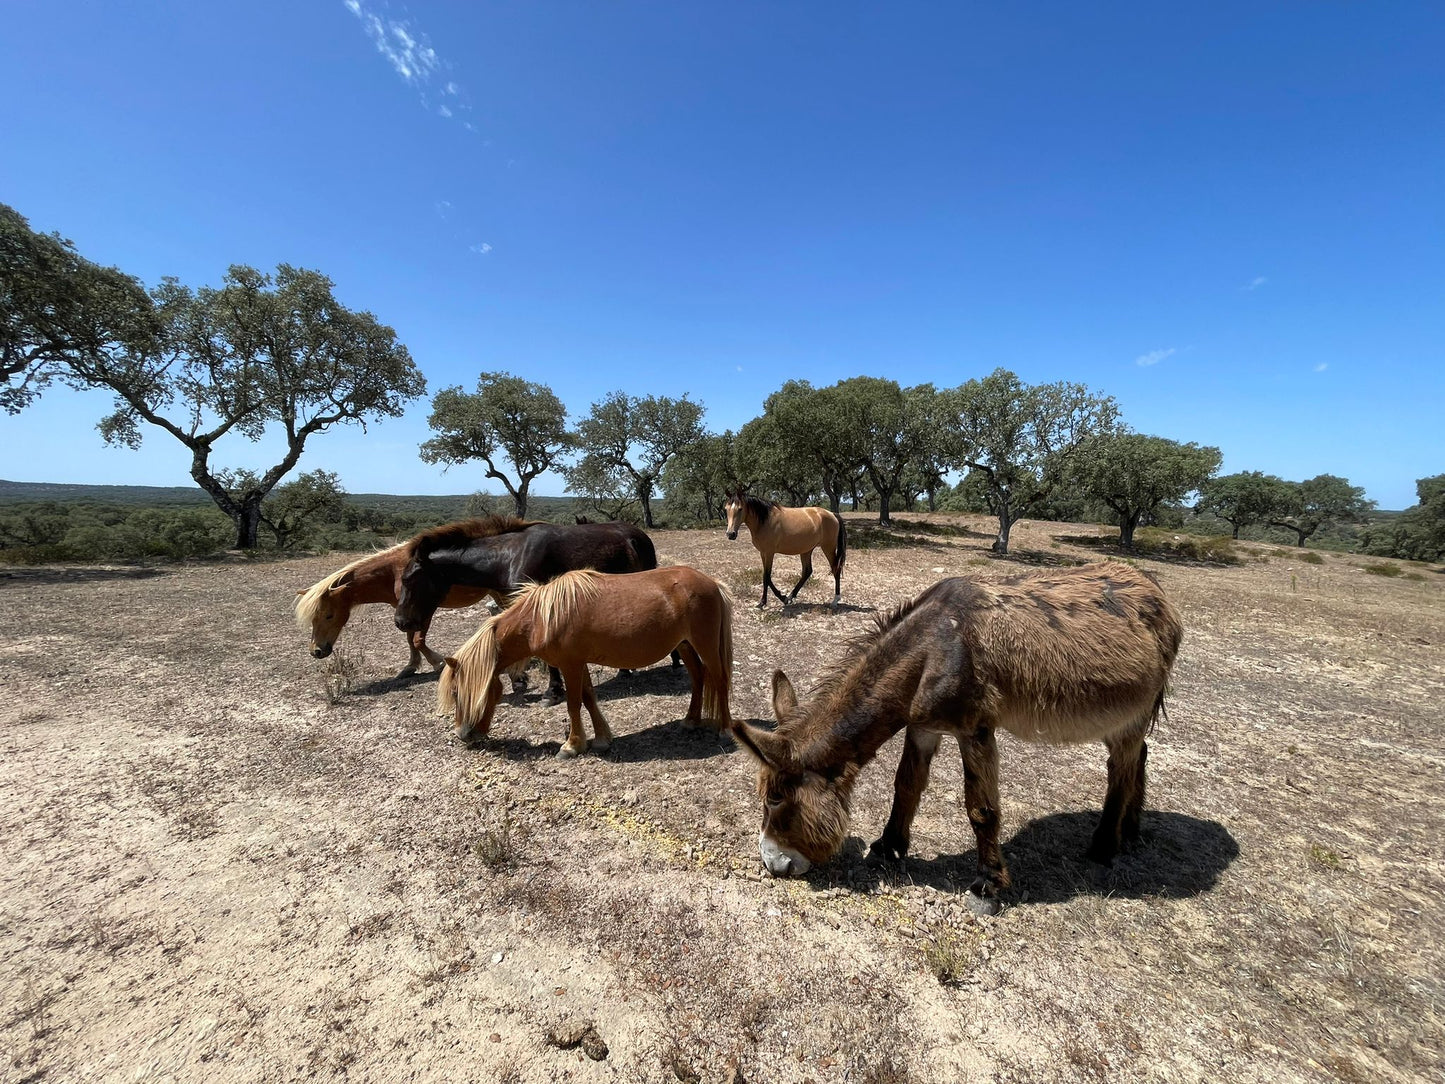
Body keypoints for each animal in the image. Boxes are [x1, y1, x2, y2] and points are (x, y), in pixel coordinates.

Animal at [395, 517, 676, 705]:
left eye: (408, 579)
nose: (400, 621)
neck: (508, 557)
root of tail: (637, 534)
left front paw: (551, 691)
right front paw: (520, 680)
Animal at [436, 569, 734, 763]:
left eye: (456, 692)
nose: (462, 735)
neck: (541, 618)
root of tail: (712, 583)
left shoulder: (569, 664)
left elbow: (573, 704)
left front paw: (571, 745)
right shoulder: (579, 663)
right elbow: (589, 698)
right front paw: (601, 739)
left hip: (705, 645)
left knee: (719, 680)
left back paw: (725, 730)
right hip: (684, 645)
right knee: (698, 678)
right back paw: (690, 721)